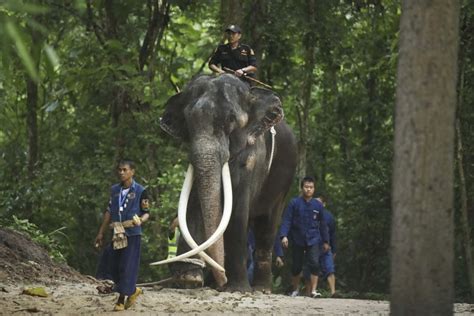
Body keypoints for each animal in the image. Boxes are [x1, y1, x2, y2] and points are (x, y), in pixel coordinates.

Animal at [155, 73, 296, 292]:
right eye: (188, 121)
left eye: (231, 119)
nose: (221, 279)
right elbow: (193, 205)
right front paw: (189, 279)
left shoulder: (253, 158)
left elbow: (237, 211)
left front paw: (237, 289)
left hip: (284, 184)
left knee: (267, 227)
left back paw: (260, 289)